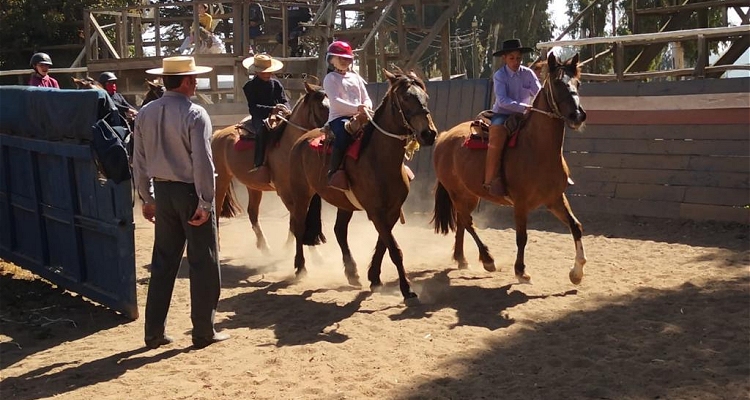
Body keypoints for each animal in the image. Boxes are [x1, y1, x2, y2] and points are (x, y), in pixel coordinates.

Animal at [212, 81, 328, 252]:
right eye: (321, 106)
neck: (287, 146)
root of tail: (217, 134)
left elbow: (297, 221)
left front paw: (290, 248)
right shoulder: (285, 192)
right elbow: (298, 220)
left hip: (252, 185)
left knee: (252, 212)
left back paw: (264, 247)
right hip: (221, 179)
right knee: (217, 209)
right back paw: (218, 245)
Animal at [288, 69, 440, 304]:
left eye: (426, 97)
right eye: (406, 98)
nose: (429, 134)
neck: (379, 159)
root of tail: (301, 140)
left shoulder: (391, 211)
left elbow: (383, 245)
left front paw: (374, 277)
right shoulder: (376, 212)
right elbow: (394, 250)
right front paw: (407, 290)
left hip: (343, 204)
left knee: (339, 231)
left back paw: (352, 273)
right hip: (301, 196)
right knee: (299, 226)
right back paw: (300, 267)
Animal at [432, 52, 592, 284]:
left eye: (577, 83)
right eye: (556, 83)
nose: (577, 116)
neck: (537, 149)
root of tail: (444, 137)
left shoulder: (554, 199)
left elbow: (576, 226)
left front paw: (577, 272)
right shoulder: (520, 203)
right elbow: (522, 237)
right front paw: (520, 270)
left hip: (469, 194)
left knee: (462, 222)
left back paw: (462, 259)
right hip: (456, 193)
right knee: (467, 221)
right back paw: (487, 259)